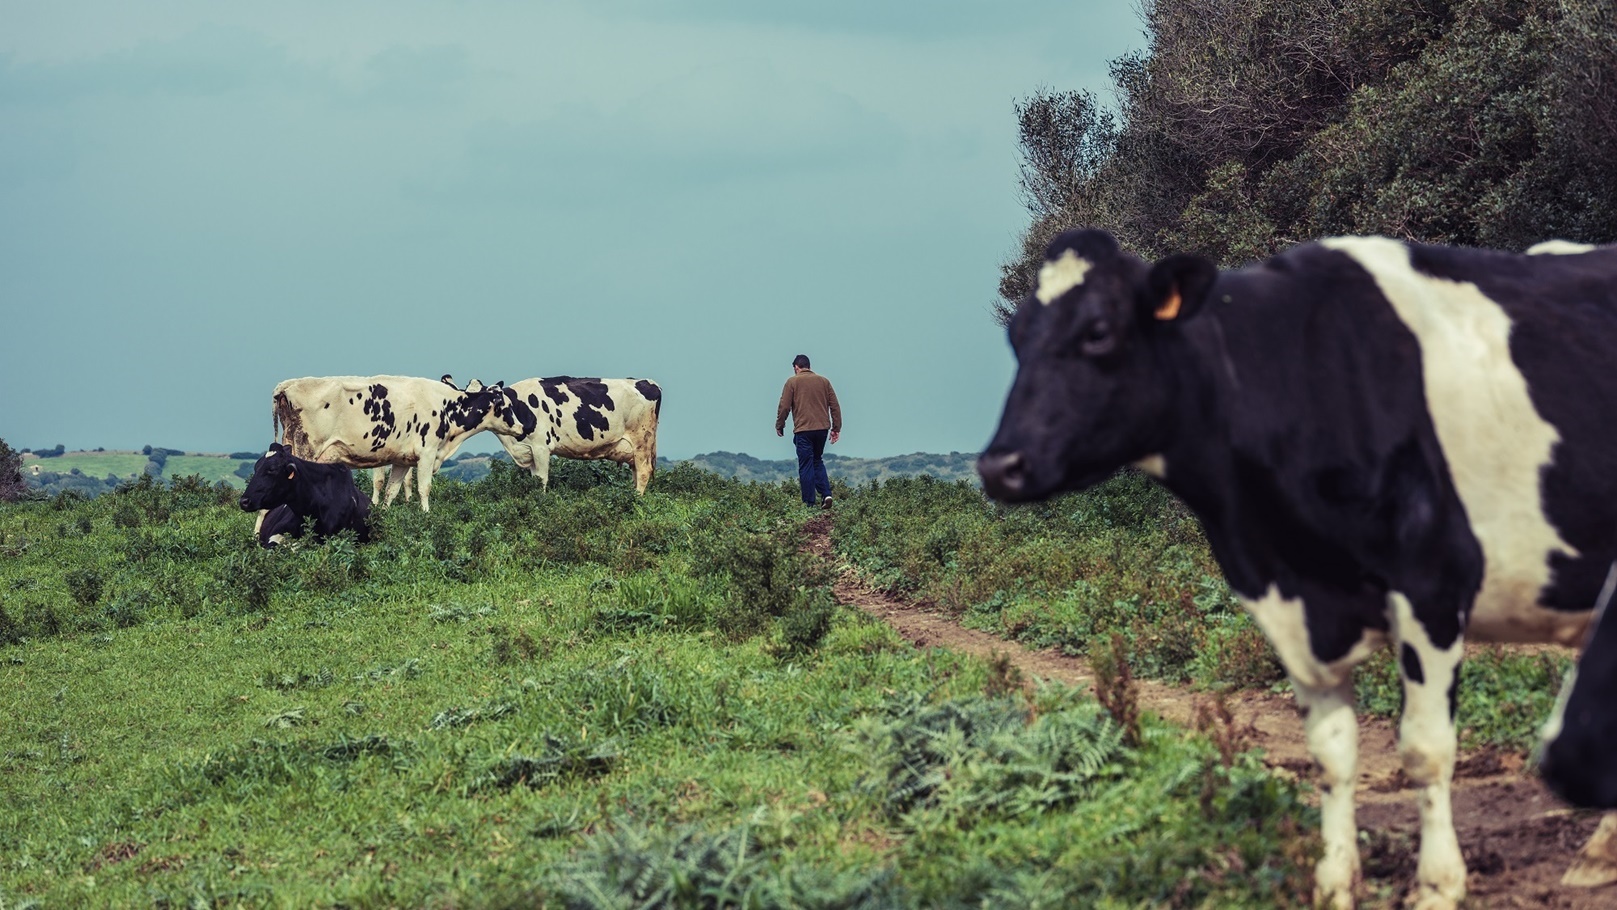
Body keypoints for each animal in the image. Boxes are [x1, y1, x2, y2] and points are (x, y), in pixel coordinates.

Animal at [272, 375, 514, 511]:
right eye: (507, 406)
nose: (522, 427)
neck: (446, 405)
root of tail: (287, 385)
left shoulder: (402, 459)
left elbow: (392, 491)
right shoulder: (427, 453)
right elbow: (423, 488)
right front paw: (426, 515)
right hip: (306, 452)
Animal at [487, 376, 662, 493]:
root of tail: (648, 382)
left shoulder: (540, 447)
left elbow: (541, 480)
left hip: (642, 440)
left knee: (644, 471)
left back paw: (636, 498)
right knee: (636, 473)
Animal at [977, 227, 1617, 909]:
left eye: (1098, 331)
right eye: (1017, 335)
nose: (998, 466)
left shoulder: (1434, 584)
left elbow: (1425, 749)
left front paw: (1437, 885)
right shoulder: (1287, 602)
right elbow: (1331, 755)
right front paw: (1334, 883)